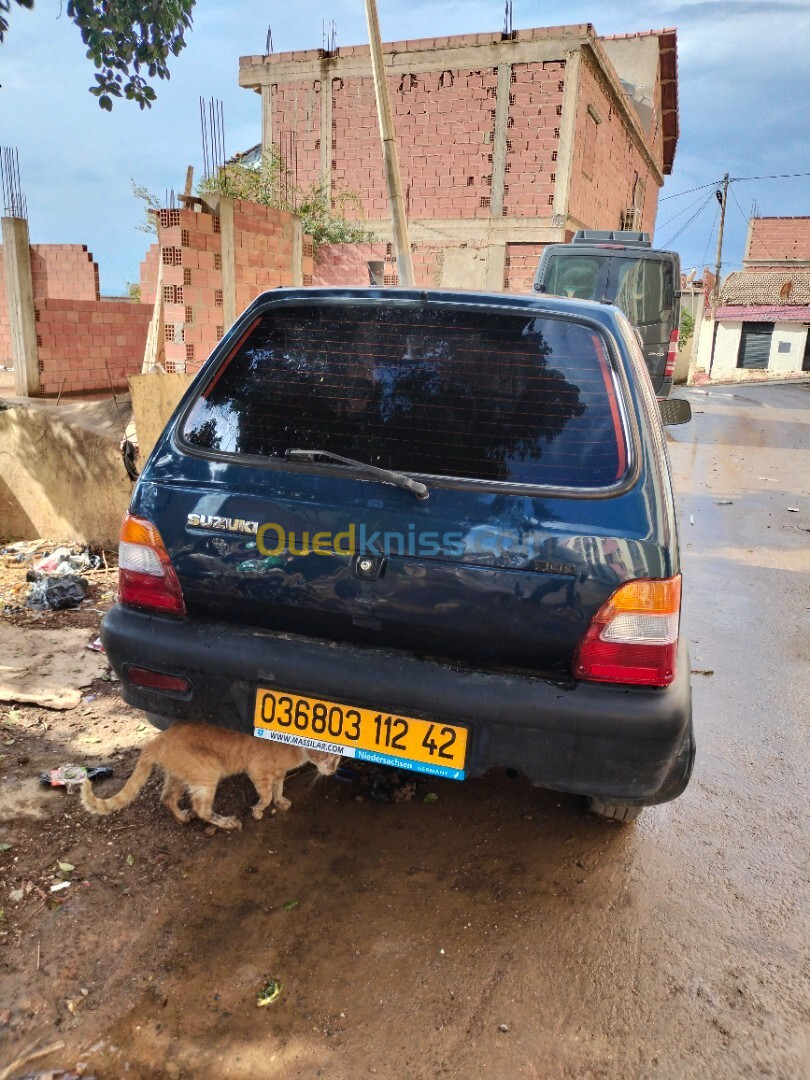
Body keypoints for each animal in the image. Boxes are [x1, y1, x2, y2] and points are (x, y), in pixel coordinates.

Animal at [79, 721, 339, 829]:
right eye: (325, 757)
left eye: (338, 758)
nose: (333, 770)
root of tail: (157, 740)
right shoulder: (258, 771)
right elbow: (265, 796)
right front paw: (258, 811)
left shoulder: (277, 774)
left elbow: (278, 789)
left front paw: (281, 802)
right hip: (208, 775)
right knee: (201, 809)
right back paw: (228, 823)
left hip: (180, 777)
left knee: (167, 799)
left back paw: (183, 818)